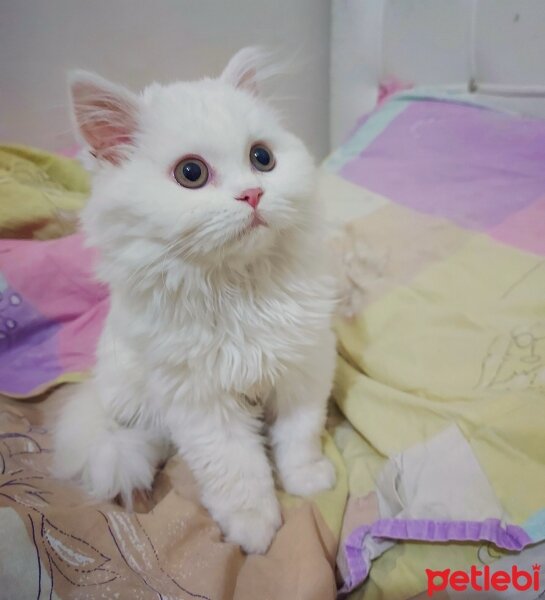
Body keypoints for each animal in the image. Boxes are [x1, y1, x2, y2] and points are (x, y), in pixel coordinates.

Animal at [54, 47, 336, 552]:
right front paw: (253, 530)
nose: (253, 193)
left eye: (262, 158)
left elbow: (298, 436)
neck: (239, 288)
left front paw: (307, 481)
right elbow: (238, 472)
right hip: (134, 395)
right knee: (140, 440)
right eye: (191, 173)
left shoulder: (305, 367)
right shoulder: (201, 402)